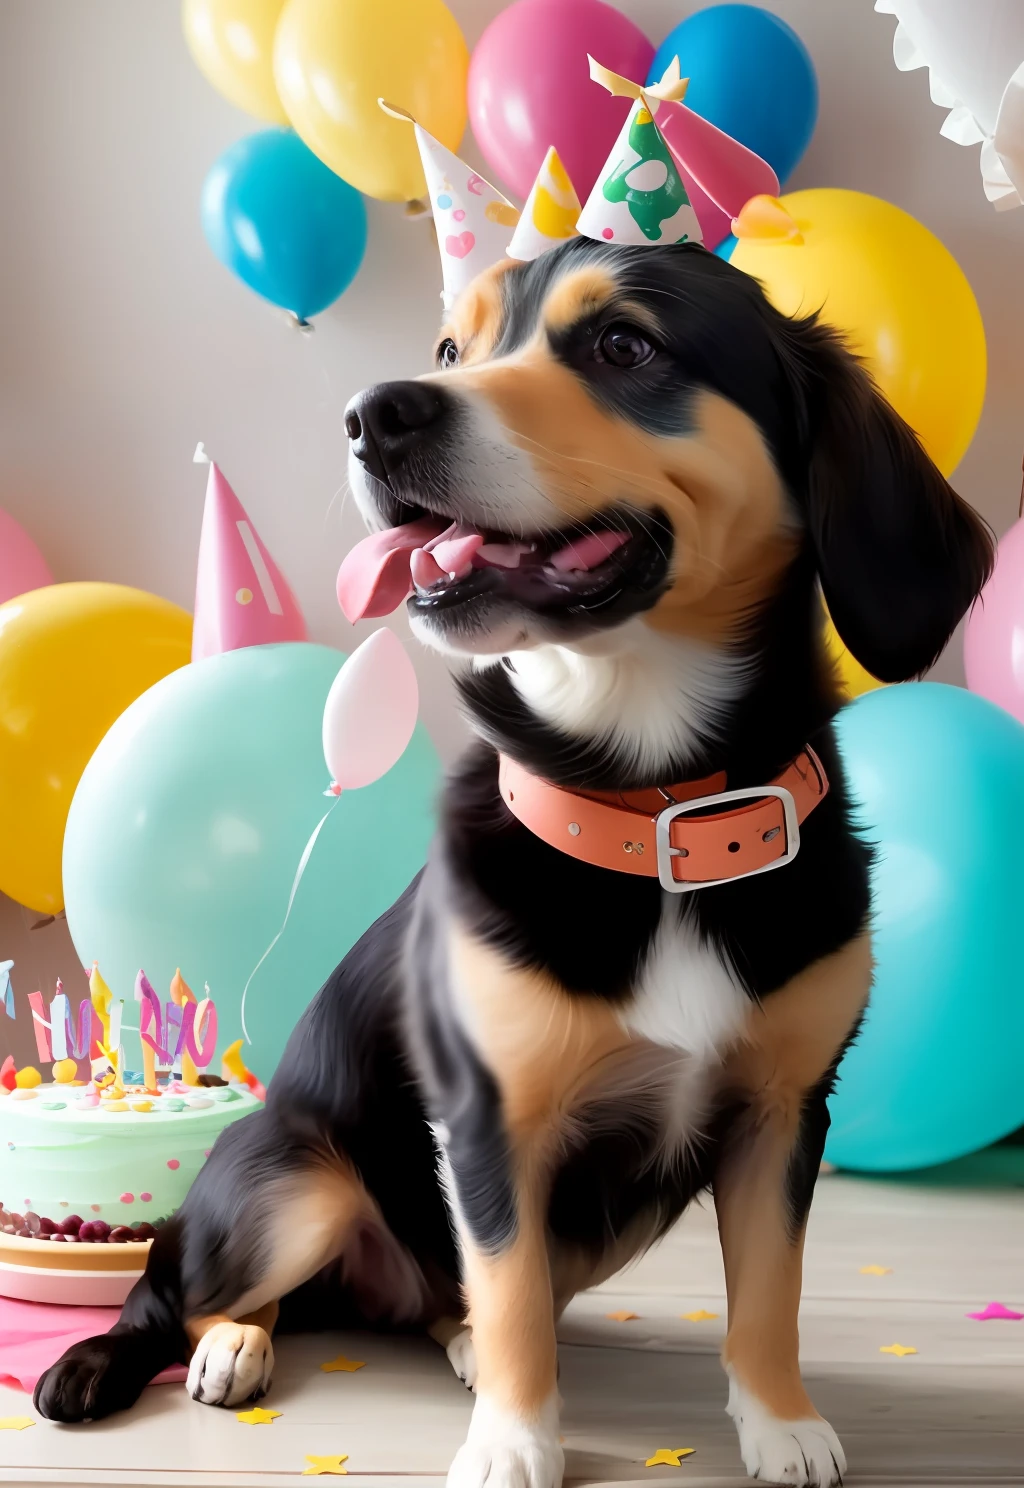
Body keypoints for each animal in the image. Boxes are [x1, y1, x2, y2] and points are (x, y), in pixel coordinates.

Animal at [34, 238, 994, 1482]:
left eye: (625, 344)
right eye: (453, 347)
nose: (374, 415)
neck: (655, 811)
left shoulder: (783, 1113)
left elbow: (766, 1294)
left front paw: (778, 1419)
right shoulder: (492, 1120)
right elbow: (514, 1298)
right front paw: (513, 1442)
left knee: (451, 1300)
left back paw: (444, 1341)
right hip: (292, 1184)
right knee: (185, 1294)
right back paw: (236, 1343)